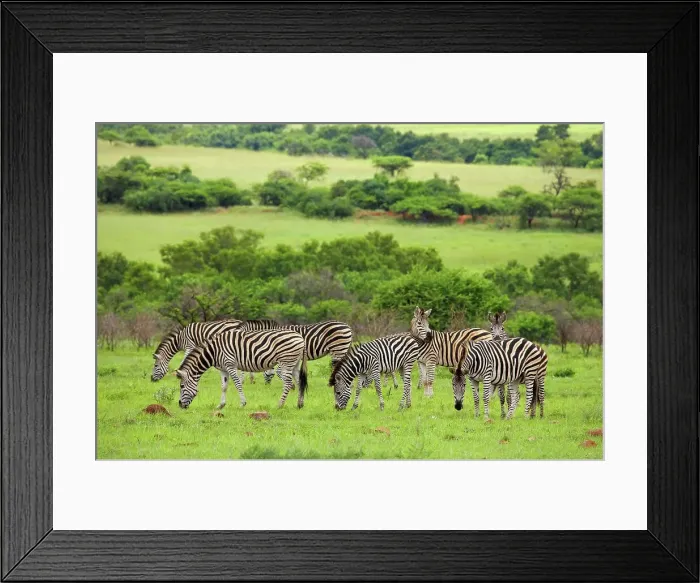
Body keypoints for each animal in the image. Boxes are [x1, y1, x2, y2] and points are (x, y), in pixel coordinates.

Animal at [176, 328, 308, 410]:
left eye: (181, 386)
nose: (180, 405)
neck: (213, 351)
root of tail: (300, 337)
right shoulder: (223, 369)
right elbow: (224, 386)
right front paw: (221, 405)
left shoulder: (230, 365)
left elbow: (237, 383)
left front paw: (243, 403)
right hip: (295, 363)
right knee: (299, 382)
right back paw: (300, 404)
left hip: (286, 362)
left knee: (288, 383)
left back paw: (280, 404)